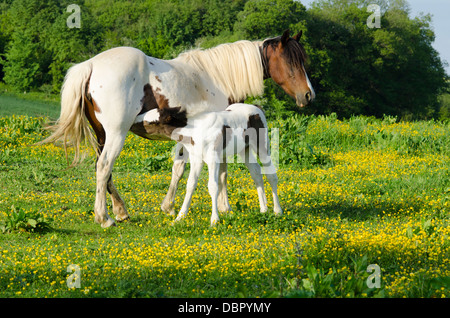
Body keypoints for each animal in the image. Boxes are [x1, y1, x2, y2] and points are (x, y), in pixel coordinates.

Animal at [139, 103, 284, 225]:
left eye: (151, 122)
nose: (136, 119)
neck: (195, 130)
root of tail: (257, 107)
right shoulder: (196, 159)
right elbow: (190, 184)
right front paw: (180, 217)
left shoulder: (213, 159)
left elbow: (213, 186)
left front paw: (214, 219)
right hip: (245, 150)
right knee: (256, 172)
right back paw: (263, 209)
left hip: (262, 147)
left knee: (271, 175)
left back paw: (277, 211)